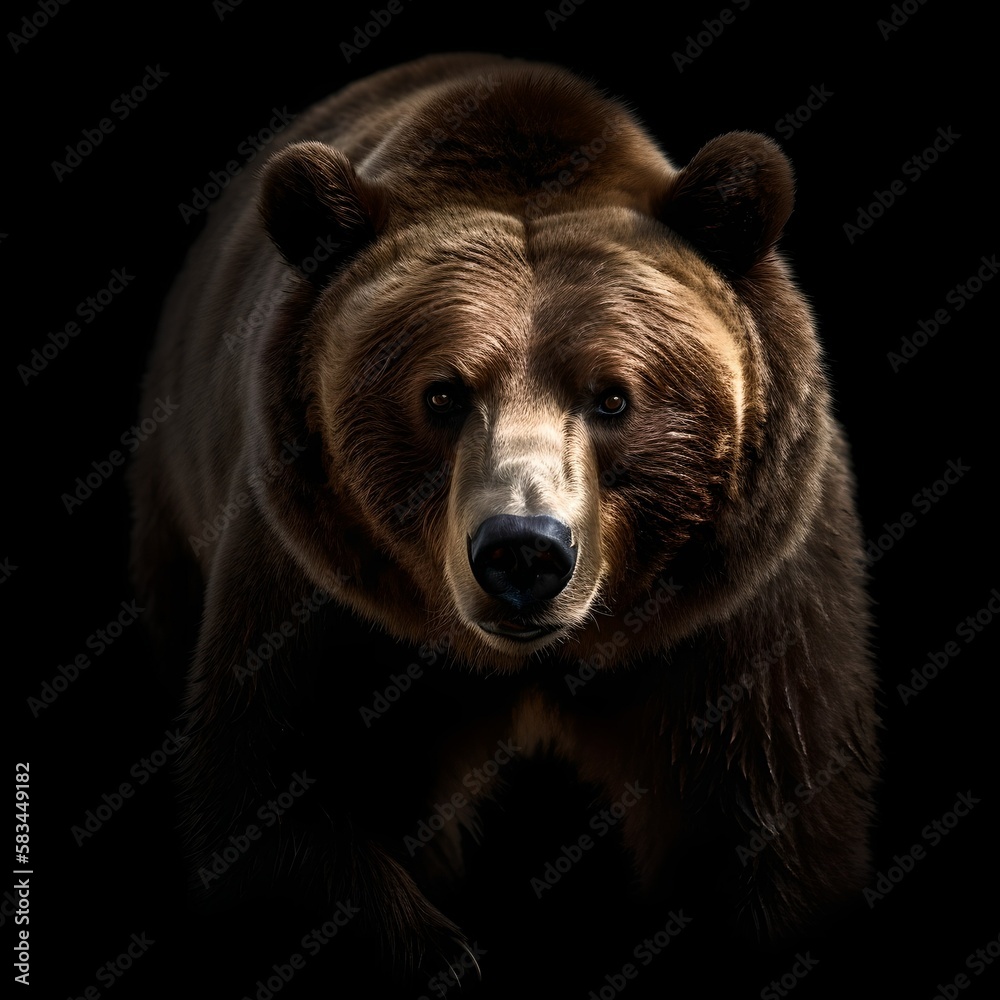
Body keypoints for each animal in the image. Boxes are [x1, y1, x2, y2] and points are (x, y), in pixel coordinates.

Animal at [129, 52, 879, 980]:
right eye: (442, 393)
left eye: (613, 396)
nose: (523, 552)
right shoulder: (319, 587)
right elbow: (266, 800)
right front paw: (441, 952)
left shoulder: (743, 612)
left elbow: (779, 820)